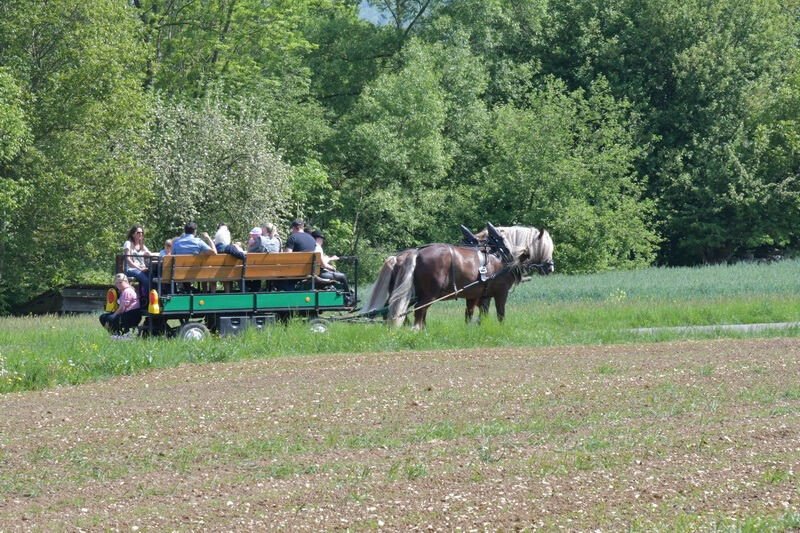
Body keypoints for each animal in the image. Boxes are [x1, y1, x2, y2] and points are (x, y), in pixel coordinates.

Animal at [364, 222, 556, 326]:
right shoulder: (501, 292)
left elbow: (476, 315)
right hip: (427, 295)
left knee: (396, 311)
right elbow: (500, 314)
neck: (502, 252)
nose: (550, 267)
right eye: (545, 247)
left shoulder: (479, 294)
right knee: (418, 312)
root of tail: (414, 253)